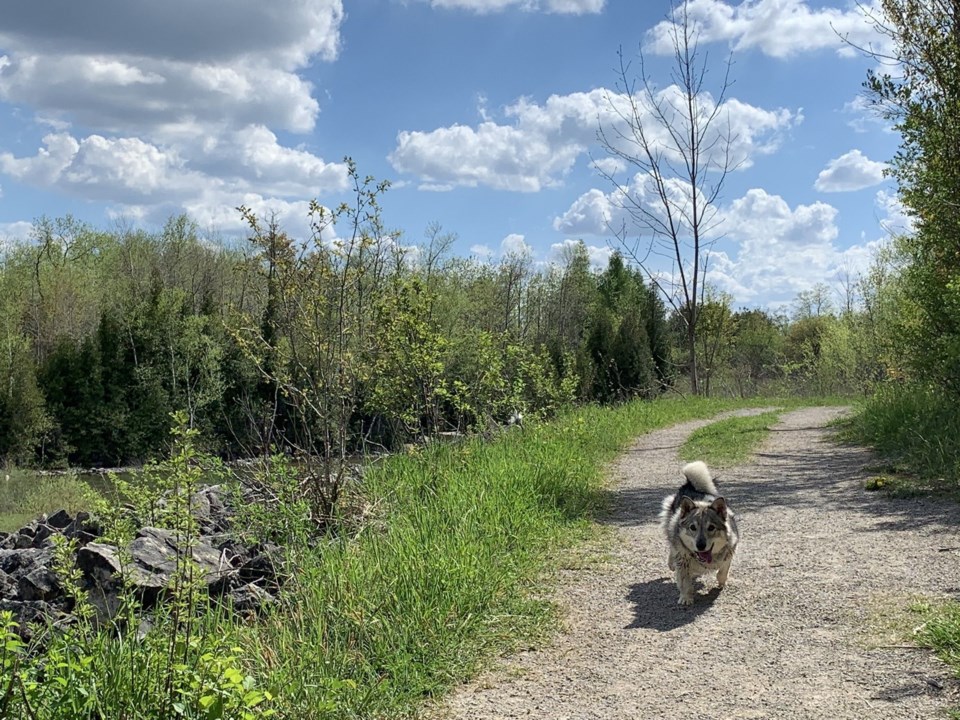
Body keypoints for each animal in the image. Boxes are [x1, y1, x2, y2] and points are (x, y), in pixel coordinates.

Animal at [656, 458, 740, 604]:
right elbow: (684, 581)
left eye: (711, 527)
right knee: (671, 547)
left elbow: (722, 571)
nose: (700, 545)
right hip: (671, 529)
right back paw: (671, 564)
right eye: (692, 527)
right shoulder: (682, 559)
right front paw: (686, 597)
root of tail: (690, 485)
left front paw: (721, 583)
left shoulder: (729, 552)